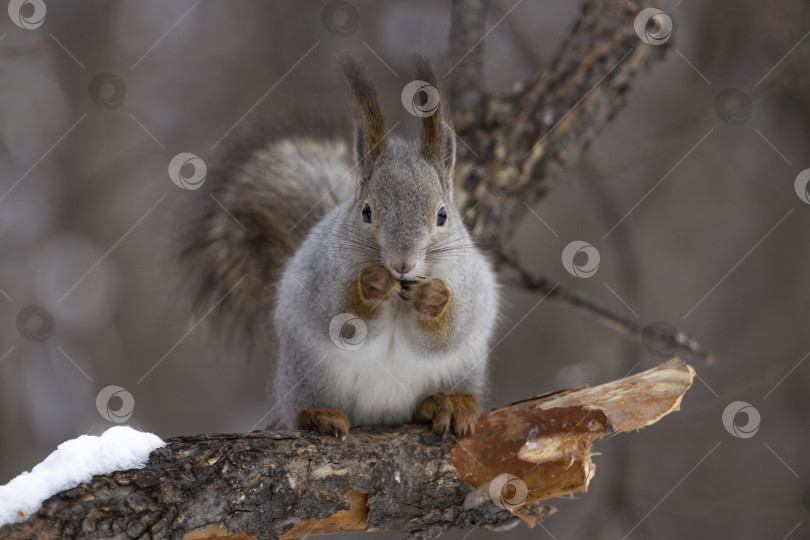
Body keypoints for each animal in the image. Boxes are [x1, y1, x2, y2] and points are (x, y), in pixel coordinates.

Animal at [178, 51, 498, 438]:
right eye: (366, 212)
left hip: (464, 369)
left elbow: (448, 332)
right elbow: (345, 322)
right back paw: (318, 415)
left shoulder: (468, 281)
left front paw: (433, 296)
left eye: (442, 215)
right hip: (306, 374)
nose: (402, 263)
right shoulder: (324, 276)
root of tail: (384, 414)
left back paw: (448, 403)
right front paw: (372, 283)